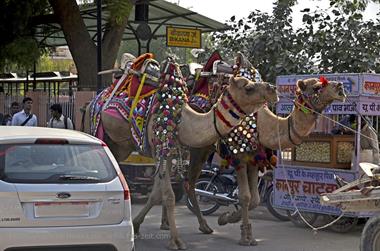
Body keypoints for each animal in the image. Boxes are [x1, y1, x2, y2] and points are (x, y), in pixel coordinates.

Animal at [84, 54, 280, 250]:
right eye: (248, 87)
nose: (273, 89)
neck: (183, 118)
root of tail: (93, 101)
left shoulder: (184, 150)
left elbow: (161, 192)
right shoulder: (165, 149)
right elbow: (169, 195)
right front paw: (176, 241)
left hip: (122, 145)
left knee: (185, 183)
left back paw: (200, 225)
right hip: (98, 131)